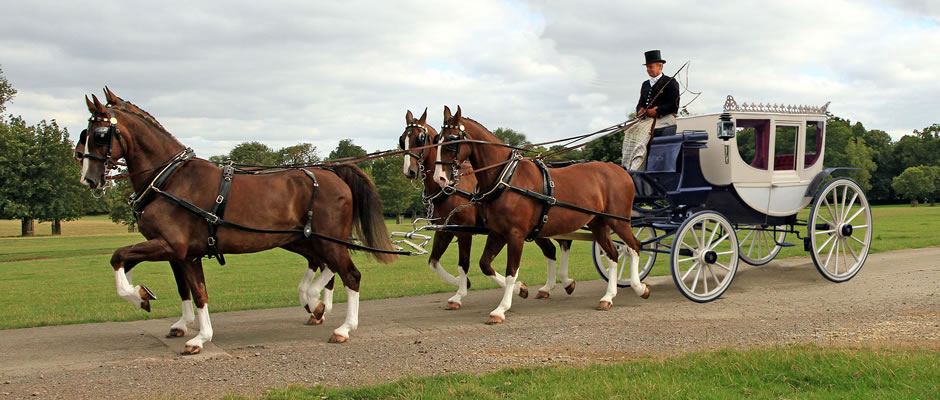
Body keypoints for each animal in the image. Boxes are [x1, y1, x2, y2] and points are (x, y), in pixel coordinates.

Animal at [76, 88, 392, 354]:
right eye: (85, 133)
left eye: (100, 134)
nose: (88, 178)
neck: (170, 179)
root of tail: (332, 171)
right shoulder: (179, 252)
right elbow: (178, 285)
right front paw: (162, 309)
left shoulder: (174, 247)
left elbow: (126, 260)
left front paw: (197, 335)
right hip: (302, 238)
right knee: (326, 265)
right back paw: (314, 303)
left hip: (326, 240)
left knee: (350, 274)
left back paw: (341, 325)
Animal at [398, 108, 576, 308]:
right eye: (402, 140)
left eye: (420, 138)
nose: (409, 171)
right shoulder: (446, 230)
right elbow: (433, 262)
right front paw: (463, 283)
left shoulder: (465, 232)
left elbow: (464, 264)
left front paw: (460, 294)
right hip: (538, 228)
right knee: (551, 249)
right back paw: (550, 287)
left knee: (563, 243)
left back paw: (564, 281)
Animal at [432, 106, 648, 324]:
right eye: (437, 140)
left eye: (451, 140)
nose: (439, 178)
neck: (506, 177)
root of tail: (620, 170)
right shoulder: (497, 233)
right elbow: (485, 264)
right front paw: (521, 289)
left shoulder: (515, 235)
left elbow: (511, 272)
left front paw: (501, 308)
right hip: (598, 224)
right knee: (613, 255)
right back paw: (608, 297)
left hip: (619, 222)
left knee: (633, 247)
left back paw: (639, 287)